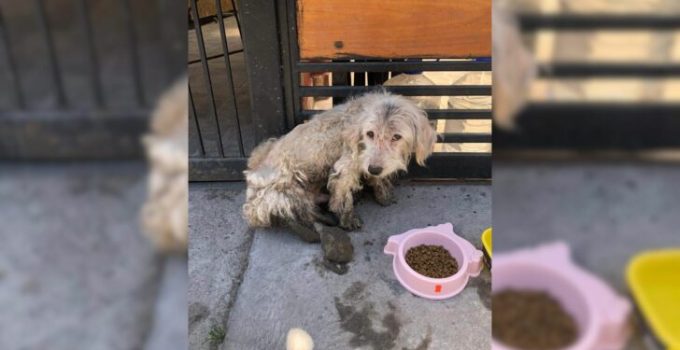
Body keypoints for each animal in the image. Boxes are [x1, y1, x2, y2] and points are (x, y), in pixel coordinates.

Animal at [243, 91, 436, 234]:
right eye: (370, 133)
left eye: (396, 137)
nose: (374, 169)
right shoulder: (346, 166)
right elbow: (343, 195)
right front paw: (347, 218)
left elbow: (376, 178)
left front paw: (383, 192)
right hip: (288, 186)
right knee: (298, 212)